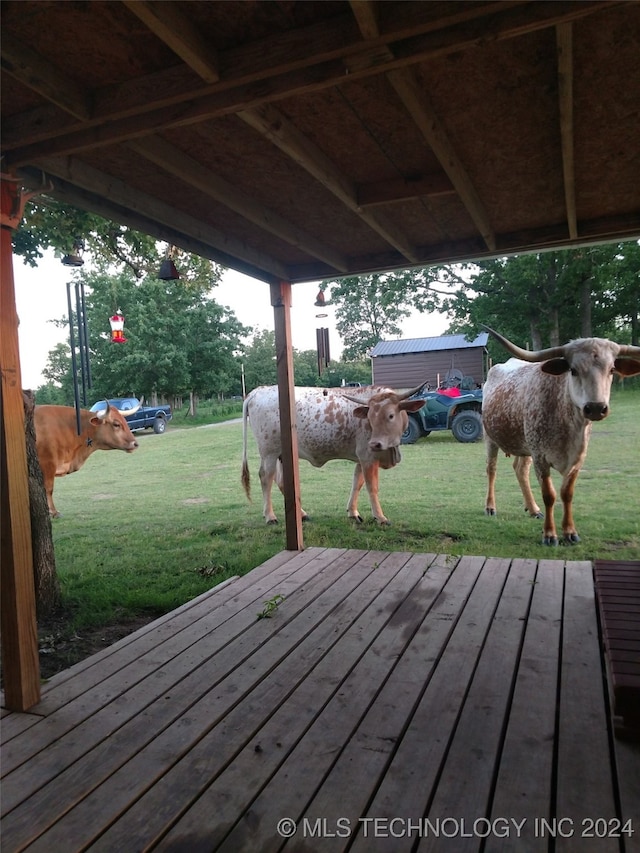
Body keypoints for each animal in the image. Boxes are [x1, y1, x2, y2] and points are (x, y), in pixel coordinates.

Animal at [240, 382, 424, 524]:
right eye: (370, 418)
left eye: (390, 415)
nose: (374, 443)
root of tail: (258, 391)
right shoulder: (367, 456)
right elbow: (372, 487)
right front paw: (380, 517)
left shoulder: (361, 459)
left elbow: (357, 483)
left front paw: (353, 513)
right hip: (269, 452)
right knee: (266, 478)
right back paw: (270, 516)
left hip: (282, 455)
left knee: (281, 481)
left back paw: (302, 514)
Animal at [482, 326, 636, 544]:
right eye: (573, 370)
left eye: (612, 369)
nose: (596, 408)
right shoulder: (541, 457)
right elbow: (549, 494)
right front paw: (549, 534)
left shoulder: (577, 459)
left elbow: (567, 494)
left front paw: (570, 532)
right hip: (491, 438)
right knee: (492, 470)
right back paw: (490, 506)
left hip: (525, 445)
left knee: (520, 470)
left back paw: (533, 509)